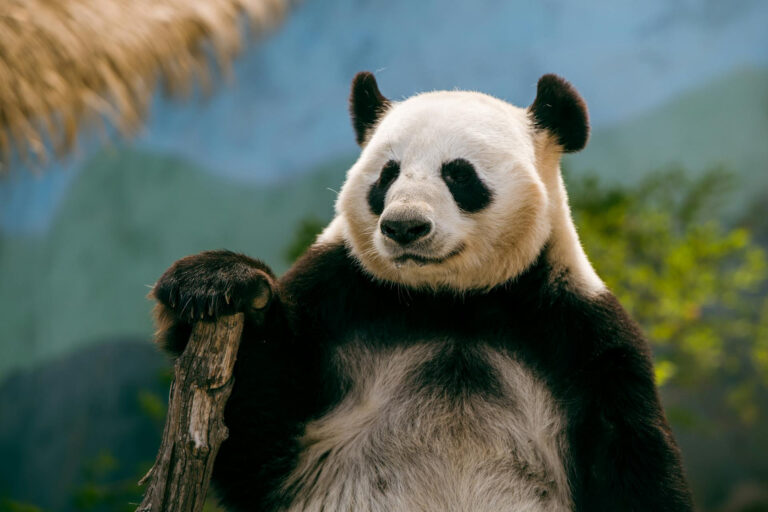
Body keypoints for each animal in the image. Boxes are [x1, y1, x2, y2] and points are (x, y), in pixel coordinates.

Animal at [152, 72, 694, 511]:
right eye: (387, 174)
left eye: (459, 173)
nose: (404, 227)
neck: (449, 303)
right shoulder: (338, 300)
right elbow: (254, 433)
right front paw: (217, 282)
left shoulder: (579, 338)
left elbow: (632, 464)